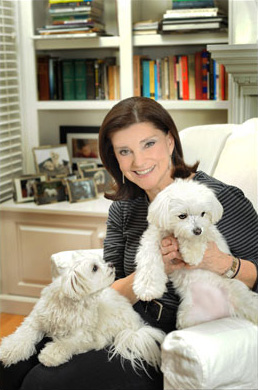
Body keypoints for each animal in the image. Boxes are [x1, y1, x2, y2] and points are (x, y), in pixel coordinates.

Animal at [0, 251, 164, 370]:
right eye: (94, 268)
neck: (68, 305)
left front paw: (50, 355)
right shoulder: (36, 321)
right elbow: (22, 336)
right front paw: (8, 350)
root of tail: (136, 328)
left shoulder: (82, 335)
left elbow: (65, 343)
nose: (111, 264)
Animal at [133, 180, 258, 330]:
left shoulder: (209, 233)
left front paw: (192, 254)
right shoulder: (152, 239)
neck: (174, 233)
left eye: (203, 213)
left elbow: (196, 239)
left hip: (241, 295)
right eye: (182, 216)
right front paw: (147, 289)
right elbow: (149, 261)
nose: (197, 230)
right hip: (188, 317)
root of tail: (222, 313)